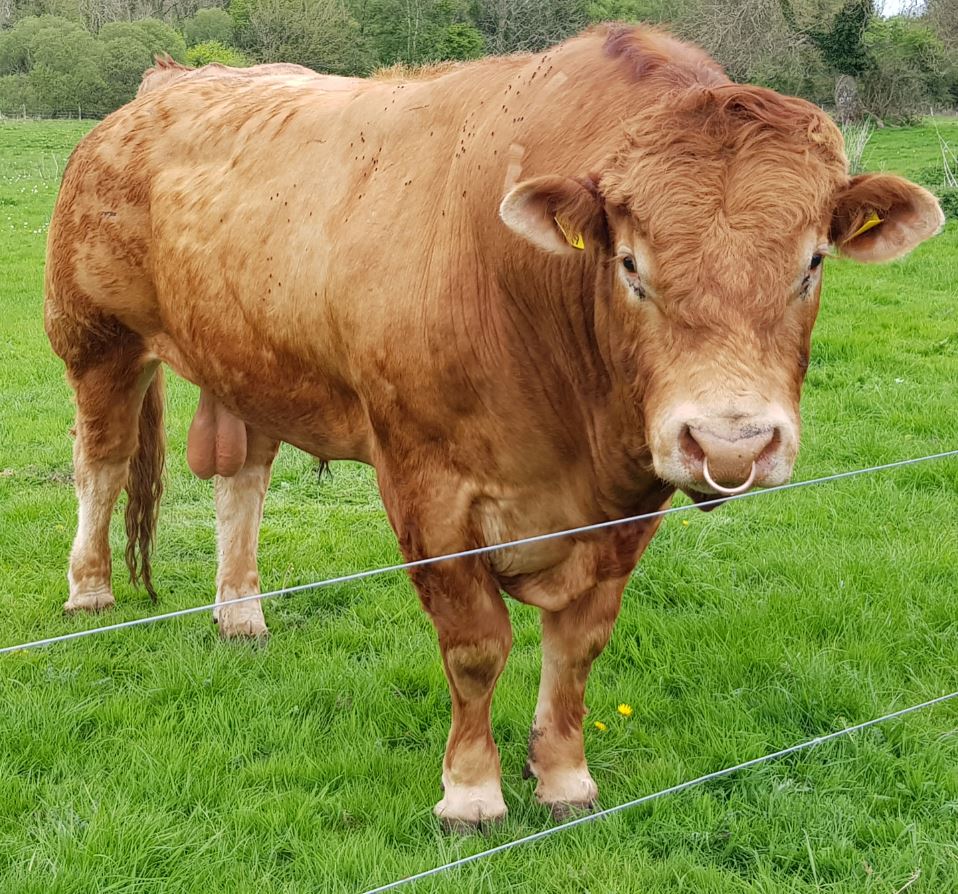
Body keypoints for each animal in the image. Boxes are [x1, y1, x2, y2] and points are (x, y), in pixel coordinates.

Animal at [47, 24, 944, 828]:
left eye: (812, 263)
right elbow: (476, 645)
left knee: (243, 477)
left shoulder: (629, 500)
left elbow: (578, 645)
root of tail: (163, 85)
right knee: (102, 460)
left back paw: (241, 614)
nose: (732, 443)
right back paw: (89, 589)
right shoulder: (428, 489)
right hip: (95, 337)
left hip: (248, 361)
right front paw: (471, 793)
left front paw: (565, 779)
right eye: (630, 265)